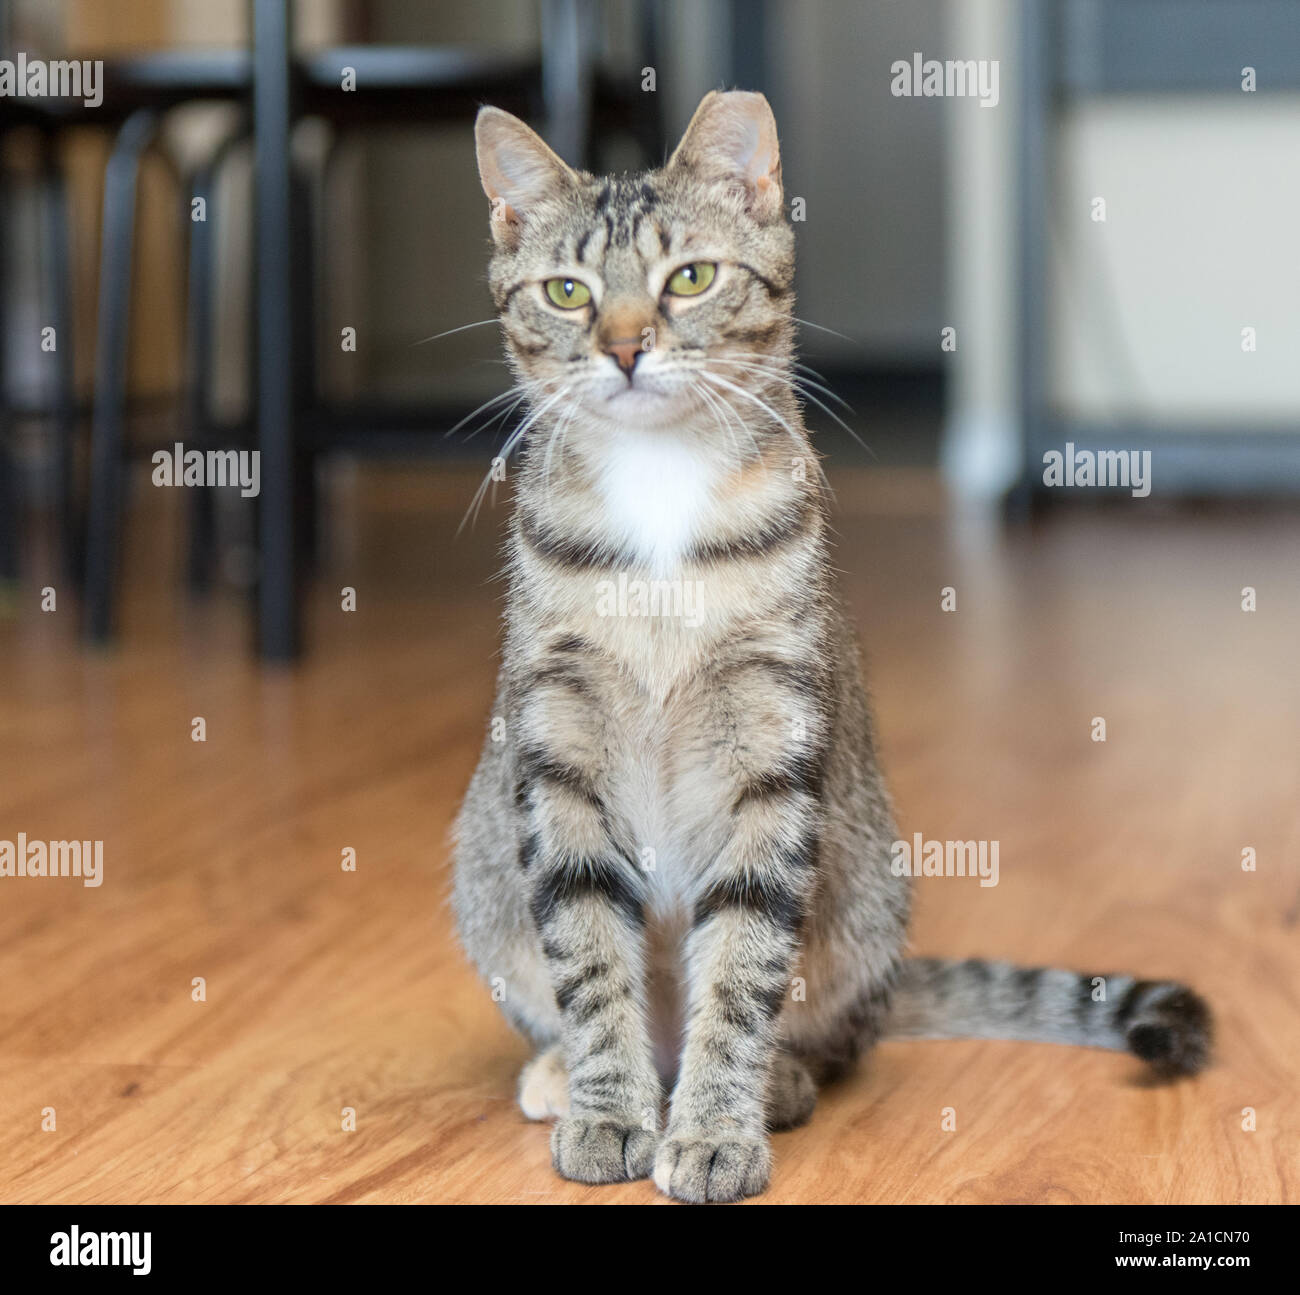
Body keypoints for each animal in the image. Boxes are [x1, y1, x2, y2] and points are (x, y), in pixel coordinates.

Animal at [452, 88, 1211, 1201]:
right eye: (565, 292)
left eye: (690, 277)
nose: (626, 347)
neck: (657, 496)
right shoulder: (558, 747)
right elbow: (589, 952)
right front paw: (608, 1108)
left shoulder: (773, 749)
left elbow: (740, 966)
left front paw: (713, 1130)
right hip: (485, 882)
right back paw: (569, 1072)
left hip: (864, 905)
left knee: (823, 1032)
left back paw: (771, 1079)